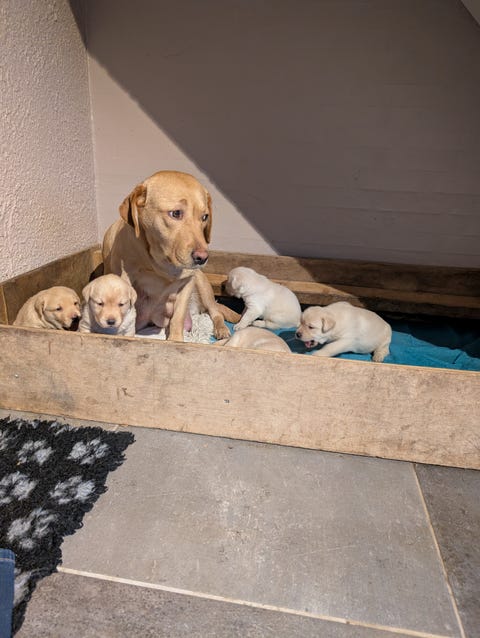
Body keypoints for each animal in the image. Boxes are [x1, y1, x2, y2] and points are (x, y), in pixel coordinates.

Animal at [102, 170, 239, 341]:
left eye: (205, 217)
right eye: (176, 213)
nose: (202, 258)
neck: (161, 263)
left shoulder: (187, 282)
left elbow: (178, 317)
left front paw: (175, 340)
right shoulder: (125, 278)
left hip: (202, 284)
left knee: (216, 312)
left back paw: (221, 329)